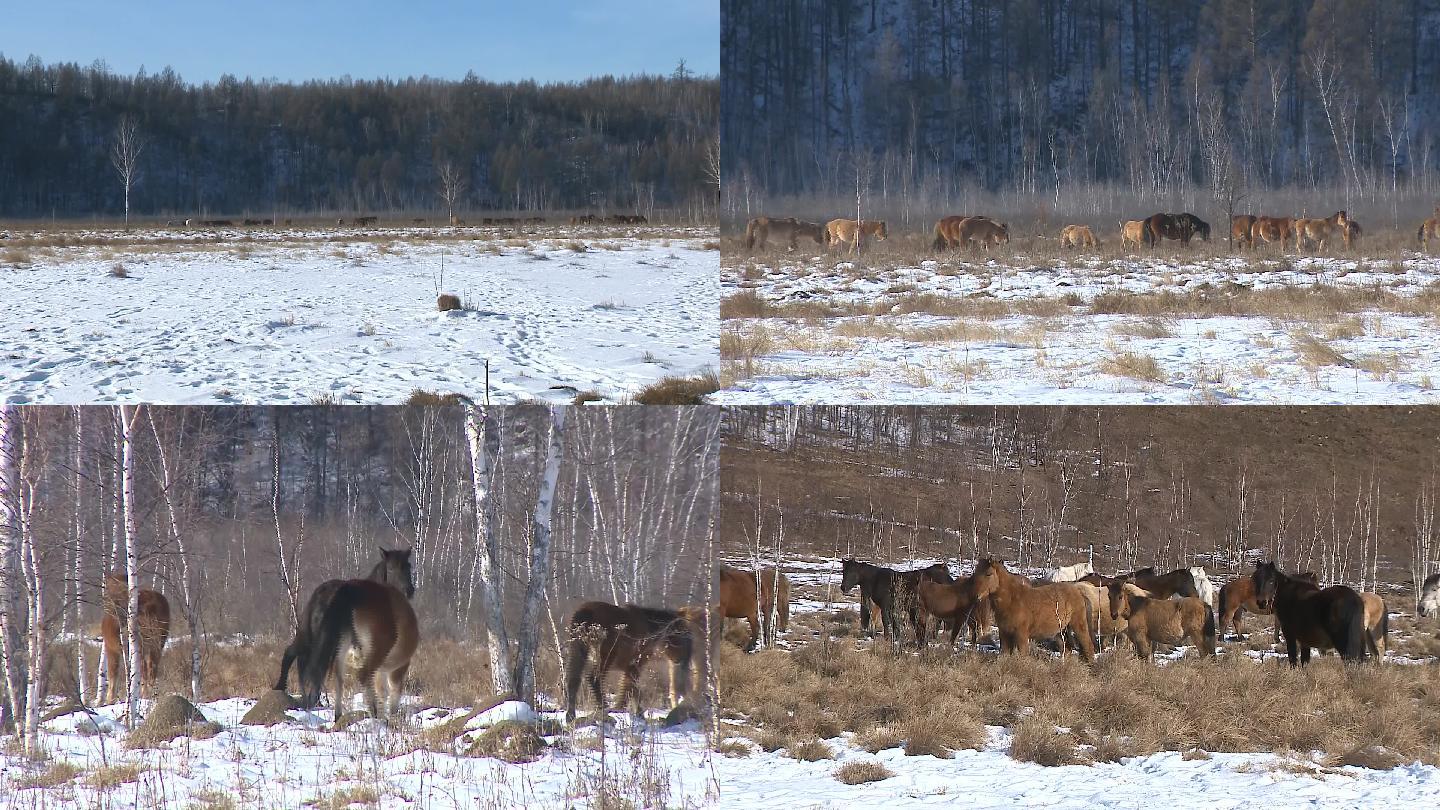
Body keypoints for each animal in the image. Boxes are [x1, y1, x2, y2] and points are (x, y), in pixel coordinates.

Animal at [100, 567, 171, 700]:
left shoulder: (111, 649)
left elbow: (113, 675)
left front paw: (110, 699)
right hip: (158, 643)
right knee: (152, 668)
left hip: (141, 645)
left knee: (144, 671)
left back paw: (143, 695)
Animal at [273, 544, 417, 703]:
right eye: (391, 568)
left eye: (408, 566)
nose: (409, 591)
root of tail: (322, 595)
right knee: (291, 654)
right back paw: (282, 689)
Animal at [561, 596, 696, 720]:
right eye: (685, 636)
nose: (685, 660)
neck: (651, 627)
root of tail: (584, 611)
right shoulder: (636, 662)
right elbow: (630, 688)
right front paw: (625, 710)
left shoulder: (628, 665)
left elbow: (632, 688)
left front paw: (636, 712)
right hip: (606, 653)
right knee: (594, 678)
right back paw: (603, 708)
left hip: (578, 648)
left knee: (573, 679)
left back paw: (570, 715)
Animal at [961, 559, 1094, 660]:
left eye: (988, 574)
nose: (975, 595)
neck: (1012, 600)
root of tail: (1078, 591)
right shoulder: (1004, 634)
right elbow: (1004, 654)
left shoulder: (1022, 635)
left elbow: (1022, 655)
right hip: (1062, 630)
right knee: (1068, 649)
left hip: (1078, 625)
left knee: (1088, 646)